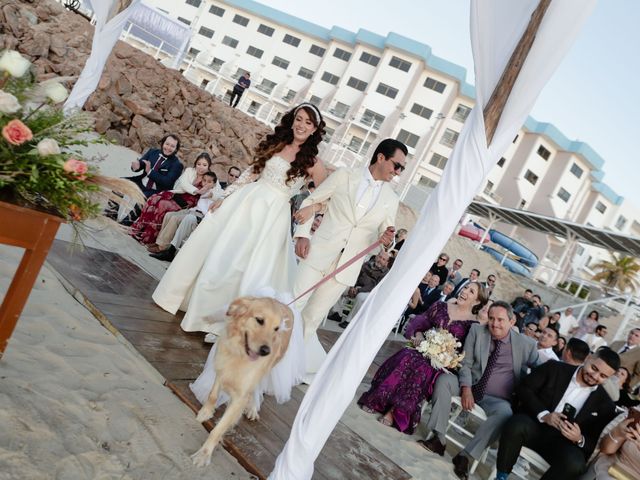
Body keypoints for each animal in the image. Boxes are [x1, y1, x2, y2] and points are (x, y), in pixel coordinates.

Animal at [188, 294, 292, 466]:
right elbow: (213, 395)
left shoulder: (240, 396)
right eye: (259, 320)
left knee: (256, 388)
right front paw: (206, 412)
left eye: (276, 328)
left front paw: (204, 454)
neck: (239, 354)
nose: (266, 351)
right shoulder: (221, 369)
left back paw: (252, 407)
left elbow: (218, 429)